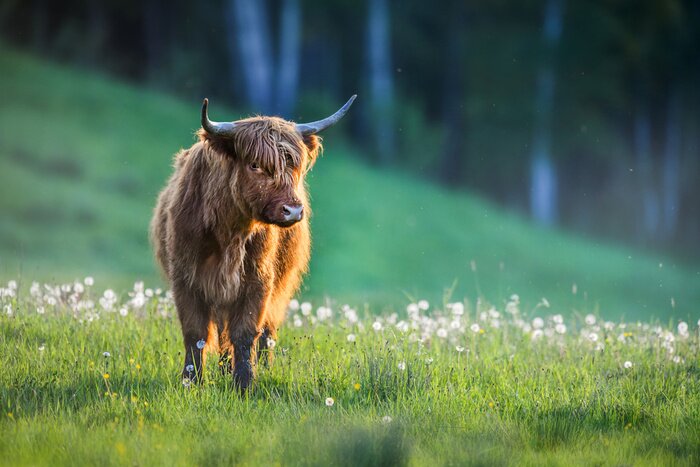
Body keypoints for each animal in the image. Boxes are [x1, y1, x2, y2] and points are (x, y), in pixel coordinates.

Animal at [150, 96, 356, 391]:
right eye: (255, 165)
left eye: (294, 165)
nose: (293, 211)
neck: (229, 231)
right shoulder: (186, 278)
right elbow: (195, 333)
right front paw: (191, 380)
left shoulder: (258, 279)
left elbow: (245, 332)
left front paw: (244, 382)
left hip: (280, 285)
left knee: (266, 330)